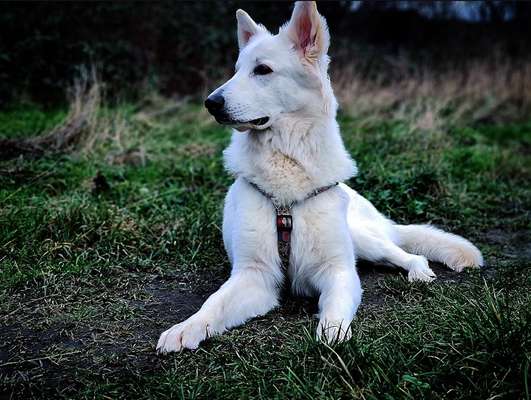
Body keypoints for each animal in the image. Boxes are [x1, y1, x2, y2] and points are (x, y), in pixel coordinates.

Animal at [156, 2, 484, 354]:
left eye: (263, 70)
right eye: (237, 70)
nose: (210, 103)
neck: (286, 169)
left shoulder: (338, 269)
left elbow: (336, 307)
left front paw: (333, 335)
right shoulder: (254, 276)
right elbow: (213, 303)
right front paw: (185, 328)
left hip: (364, 239)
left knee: (409, 254)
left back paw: (419, 272)